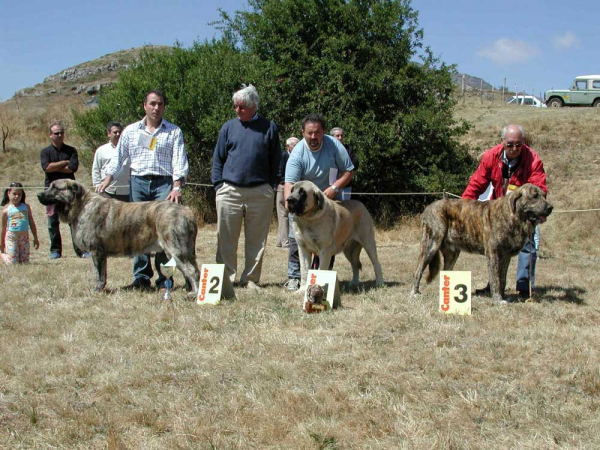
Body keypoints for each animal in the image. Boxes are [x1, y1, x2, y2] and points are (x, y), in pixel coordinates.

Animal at [38, 179, 200, 292]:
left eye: (55, 187)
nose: (39, 194)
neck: (82, 205)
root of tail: (187, 212)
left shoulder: (96, 251)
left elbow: (97, 273)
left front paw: (96, 290)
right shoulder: (101, 254)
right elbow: (103, 273)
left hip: (175, 249)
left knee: (191, 271)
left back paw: (195, 294)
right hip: (185, 250)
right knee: (193, 270)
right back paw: (188, 290)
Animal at [412, 183, 552, 302]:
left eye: (544, 196)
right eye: (534, 196)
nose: (550, 207)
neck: (513, 216)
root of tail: (427, 208)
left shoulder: (505, 257)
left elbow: (502, 278)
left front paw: (503, 296)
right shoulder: (493, 254)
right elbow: (495, 278)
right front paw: (498, 299)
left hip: (452, 254)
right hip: (431, 245)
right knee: (418, 270)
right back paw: (415, 293)